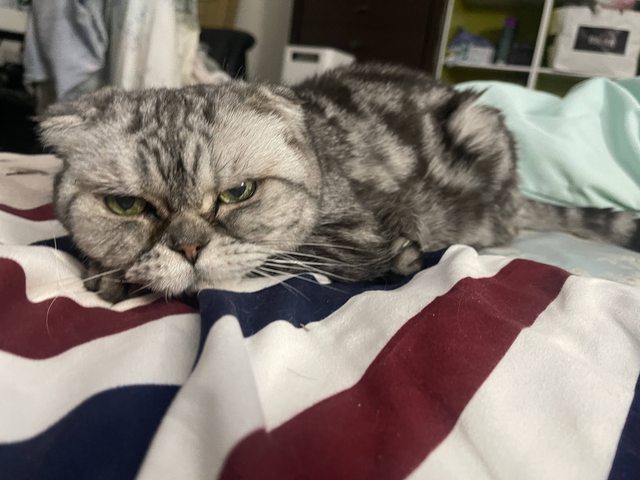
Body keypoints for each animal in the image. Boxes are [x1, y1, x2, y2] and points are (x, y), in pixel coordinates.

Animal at [40, 63, 640, 302]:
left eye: (238, 195)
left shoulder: (364, 226)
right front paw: (108, 273)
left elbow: (321, 253)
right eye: (126, 206)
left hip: (480, 128)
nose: (188, 248)